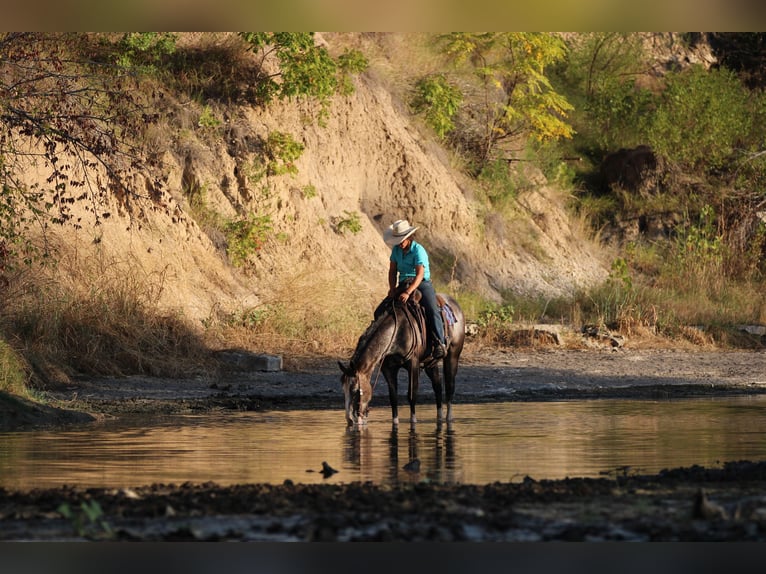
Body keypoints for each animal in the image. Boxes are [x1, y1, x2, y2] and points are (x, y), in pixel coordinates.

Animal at [340, 292, 464, 428]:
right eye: (343, 390)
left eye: (355, 390)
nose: (350, 419)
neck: (397, 331)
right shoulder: (387, 368)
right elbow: (393, 397)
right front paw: (395, 423)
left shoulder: (413, 364)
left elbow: (412, 395)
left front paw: (413, 422)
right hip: (430, 364)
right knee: (437, 387)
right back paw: (439, 418)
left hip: (453, 356)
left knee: (449, 387)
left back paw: (448, 418)